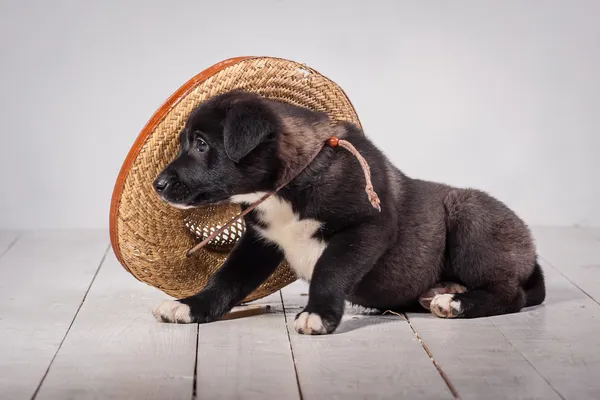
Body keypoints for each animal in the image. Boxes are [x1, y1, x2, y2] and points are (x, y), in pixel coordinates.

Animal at [150, 90, 544, 334]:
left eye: (202, 144)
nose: (158, 185)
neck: (288, 187)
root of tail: (532, 252)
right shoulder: (260, 243)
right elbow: (226, 280)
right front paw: (190, 306)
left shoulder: (367, 228)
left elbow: (330, 269)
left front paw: (319, 314)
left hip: (470, 214)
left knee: (511, 294)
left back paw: (455, 302)